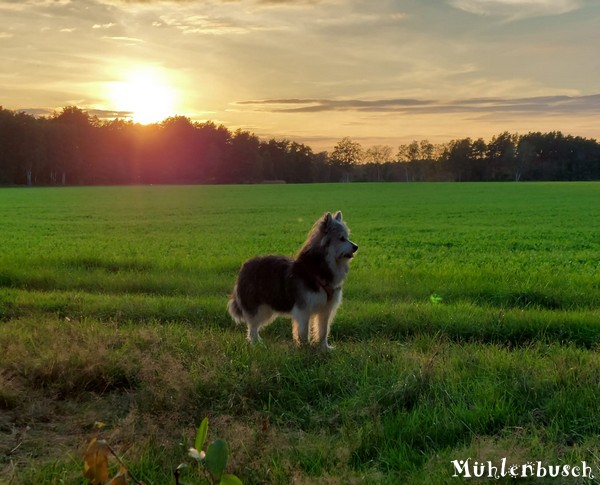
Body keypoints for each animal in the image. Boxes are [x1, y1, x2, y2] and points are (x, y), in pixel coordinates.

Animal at [225, 211, 356, 348]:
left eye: (347, 237)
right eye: (341, 238)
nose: (356, 247)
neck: (318, 269)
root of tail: (244, 266)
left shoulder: (326, 310)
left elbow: (323, 331)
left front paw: (324, 348)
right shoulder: (303, 309)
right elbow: (303, 332)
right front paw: (305, 347)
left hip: (267, 308)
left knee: (253, 326)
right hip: (257, 307)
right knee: (252, 326)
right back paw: (256, 344)